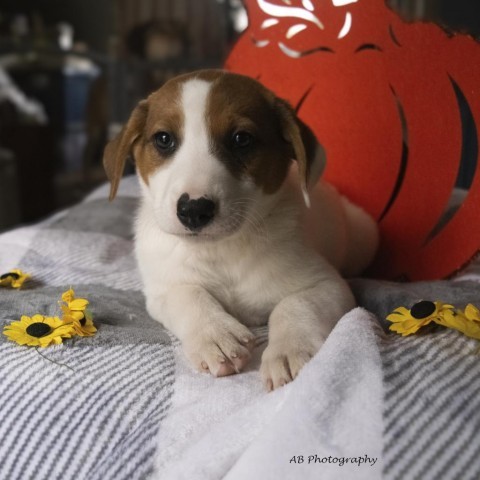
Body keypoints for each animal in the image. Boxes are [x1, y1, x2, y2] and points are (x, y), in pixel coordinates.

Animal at [102, 69, 378, 390]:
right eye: (163, 139)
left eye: (241, 139)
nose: (193, 209)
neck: (221, 249)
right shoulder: (162, 288)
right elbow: (188, 295)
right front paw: (215, 334)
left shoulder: (326, 284)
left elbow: (294, 304)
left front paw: (288, 350)